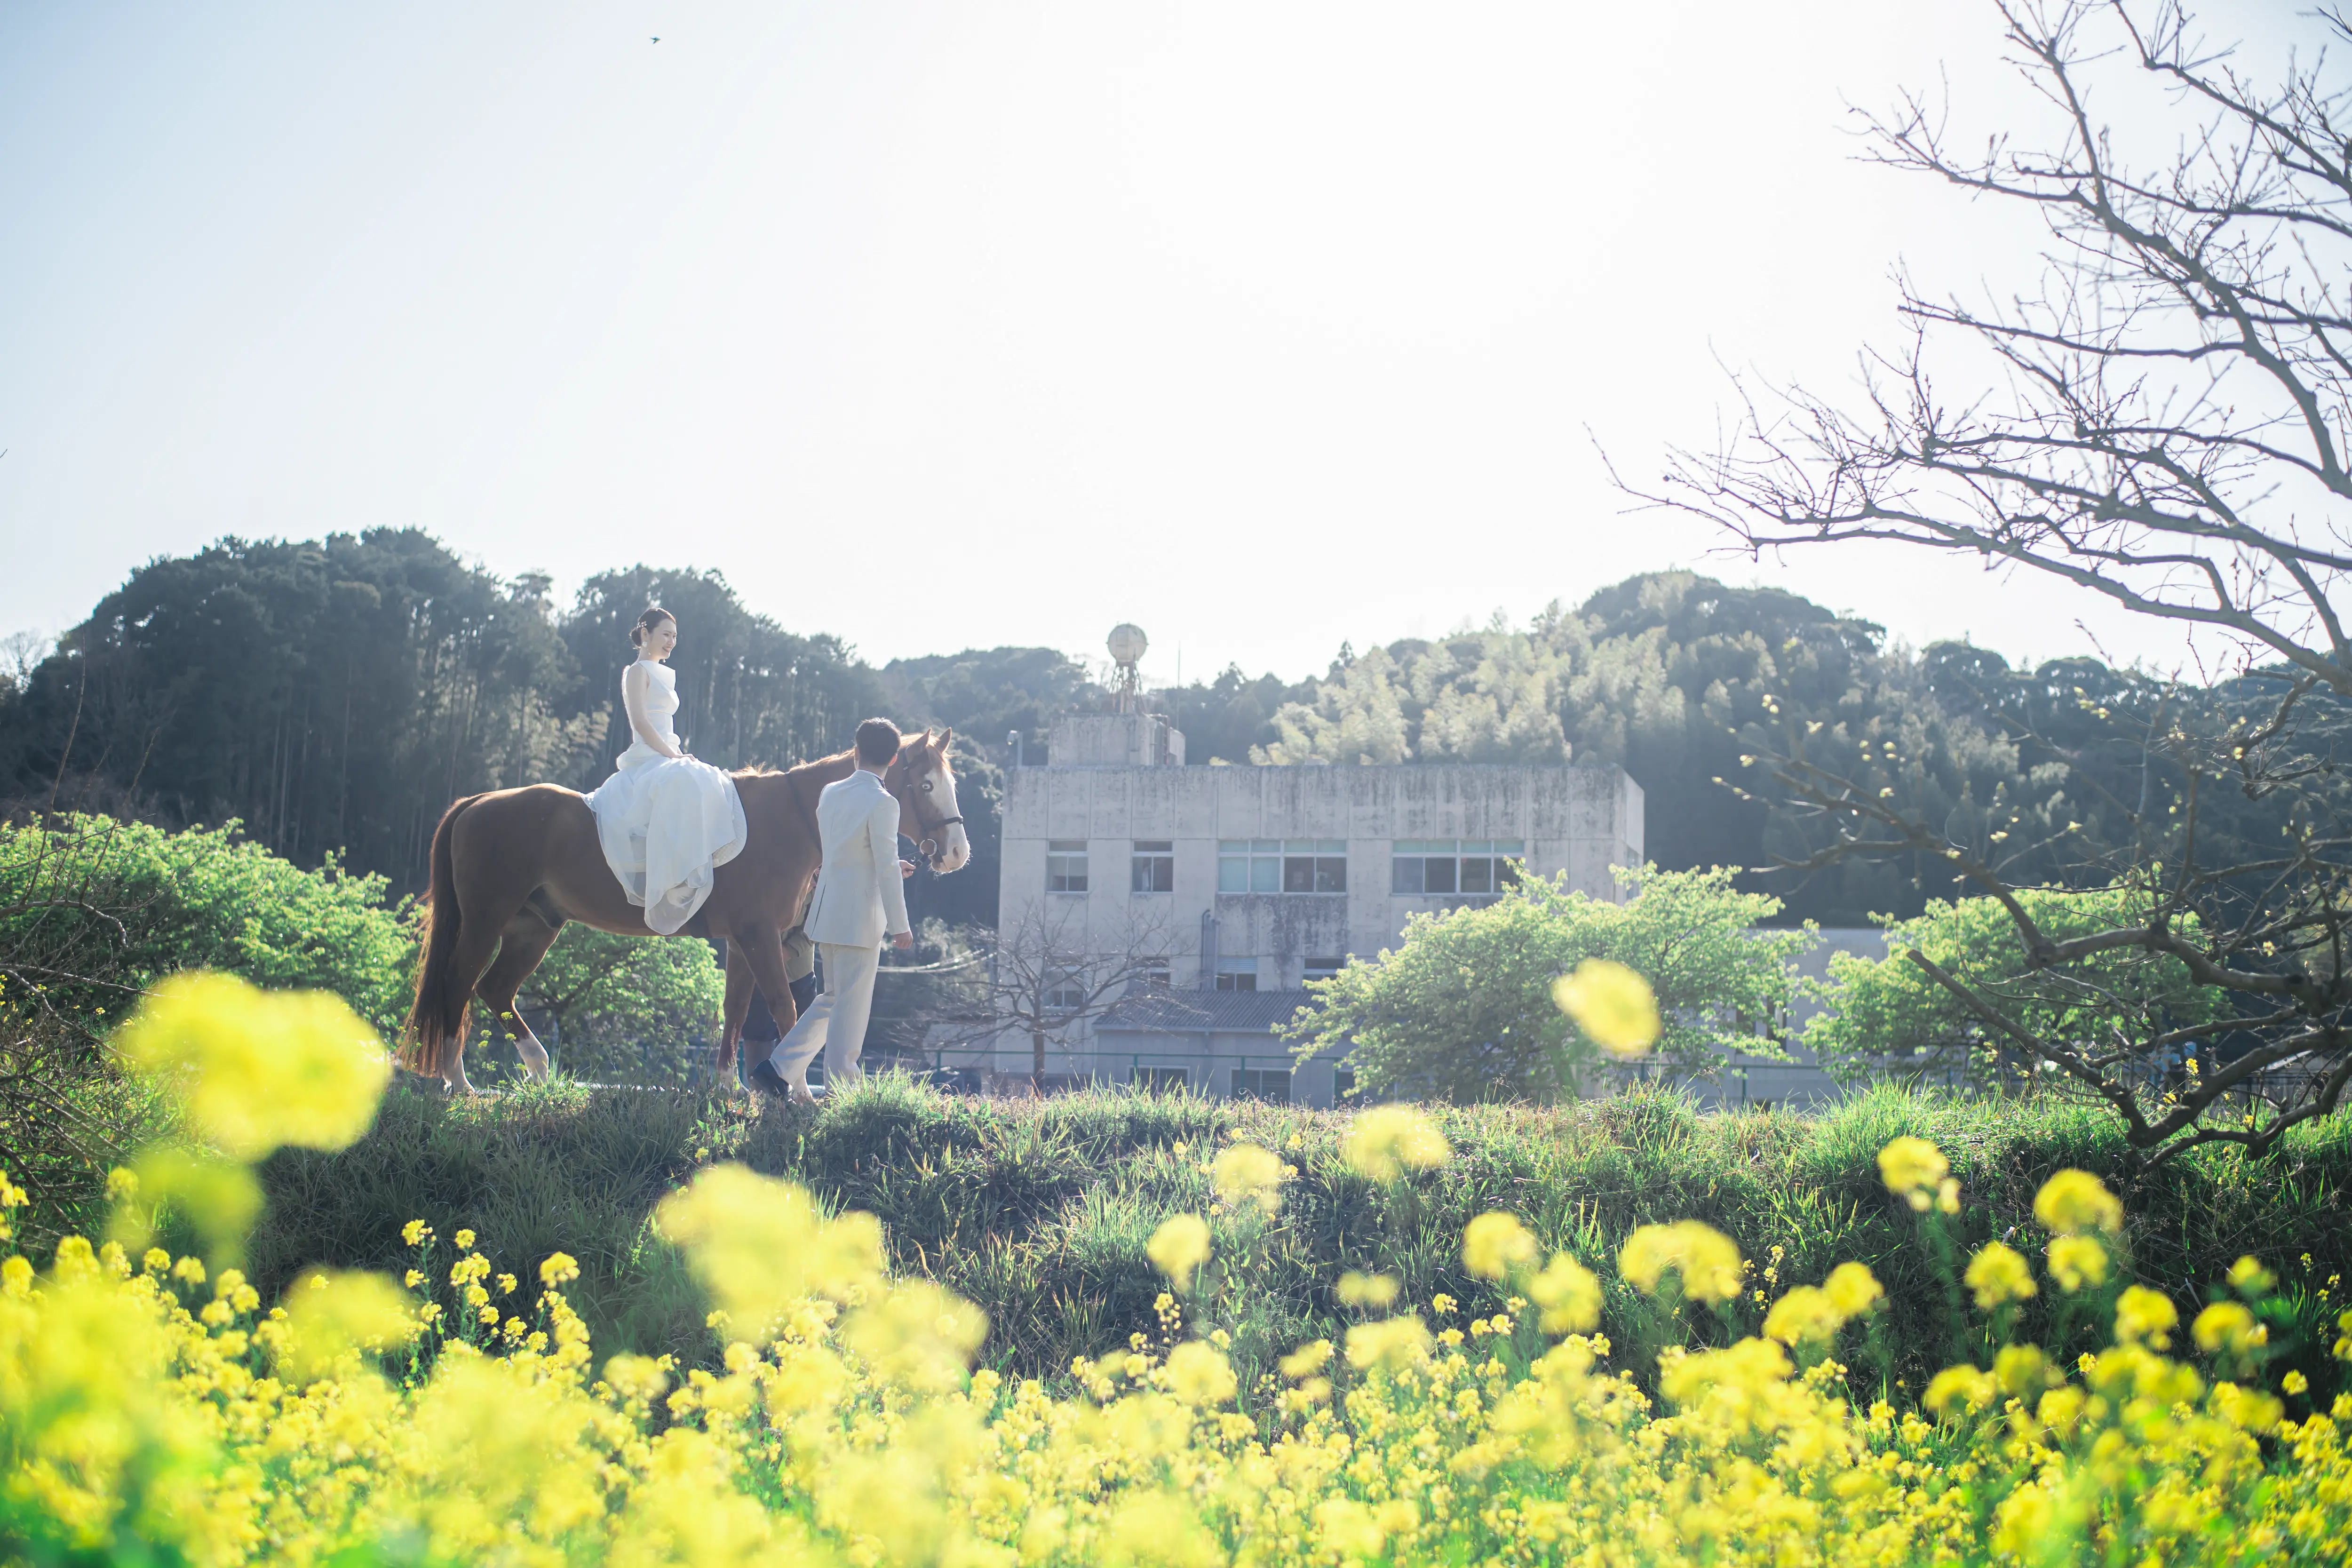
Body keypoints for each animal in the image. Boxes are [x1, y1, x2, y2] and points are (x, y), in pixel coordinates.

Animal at [402, 728, 969, 1093]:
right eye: (924, 786)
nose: (958, 852)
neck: (788, 818)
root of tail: (478, 802)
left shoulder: (743, 939)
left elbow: (736, 1011)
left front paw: (727, 1089)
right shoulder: (759, 934)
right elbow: (784, 1007)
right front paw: (797, 1091)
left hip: (533, 927)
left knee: (495, 989)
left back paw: (539, 1069)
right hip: (486, 919)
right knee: (458, 982)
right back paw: (458, 1079)